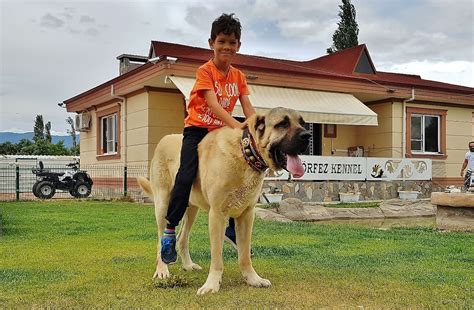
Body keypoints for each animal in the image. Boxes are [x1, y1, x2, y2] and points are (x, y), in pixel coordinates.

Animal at [136, 108, 312, 294]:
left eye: (302, 123)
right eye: (282, 124)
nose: (308, 136)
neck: (245, 153)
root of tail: (164, 138)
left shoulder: (246, 215)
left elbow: (244, 255)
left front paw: (253, 279)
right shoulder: (216, 214)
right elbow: (217, 257)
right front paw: (212, 284)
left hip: (191, 208)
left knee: (183, 237)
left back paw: (188, 265)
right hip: (163, 203)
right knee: (162, 237)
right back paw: (162, 268)